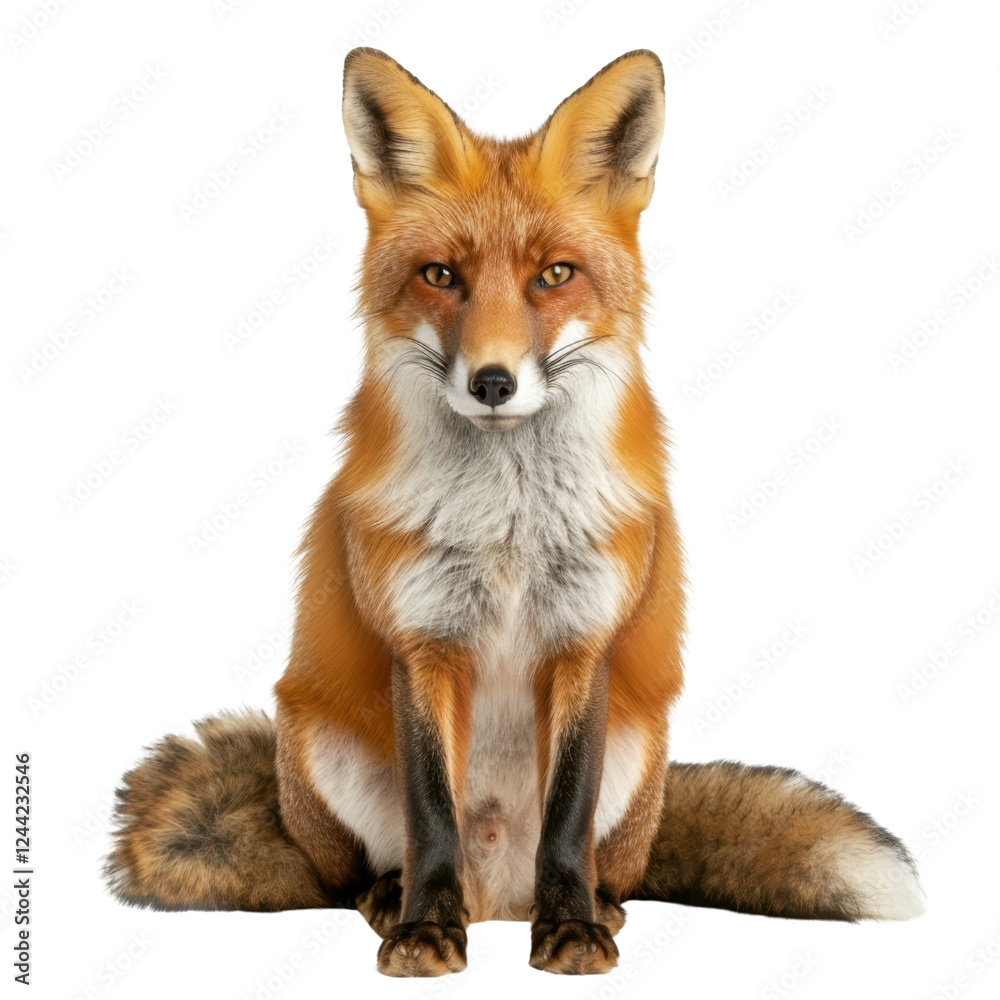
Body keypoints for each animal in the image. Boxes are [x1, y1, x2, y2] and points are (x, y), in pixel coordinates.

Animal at [104, 48, 925, 977]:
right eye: (441, 275)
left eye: (554, 275)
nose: (492, 382)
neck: (508, 531)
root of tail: (498, 894)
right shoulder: (423, 642)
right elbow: (432, 811)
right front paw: (425, 930)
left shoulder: (582, 642)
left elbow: (566, 813)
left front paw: (572, 933)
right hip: (313, 745)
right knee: (351, 876)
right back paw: (395, 899)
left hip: (640, 760)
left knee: (601, 865)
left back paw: (595, 906)